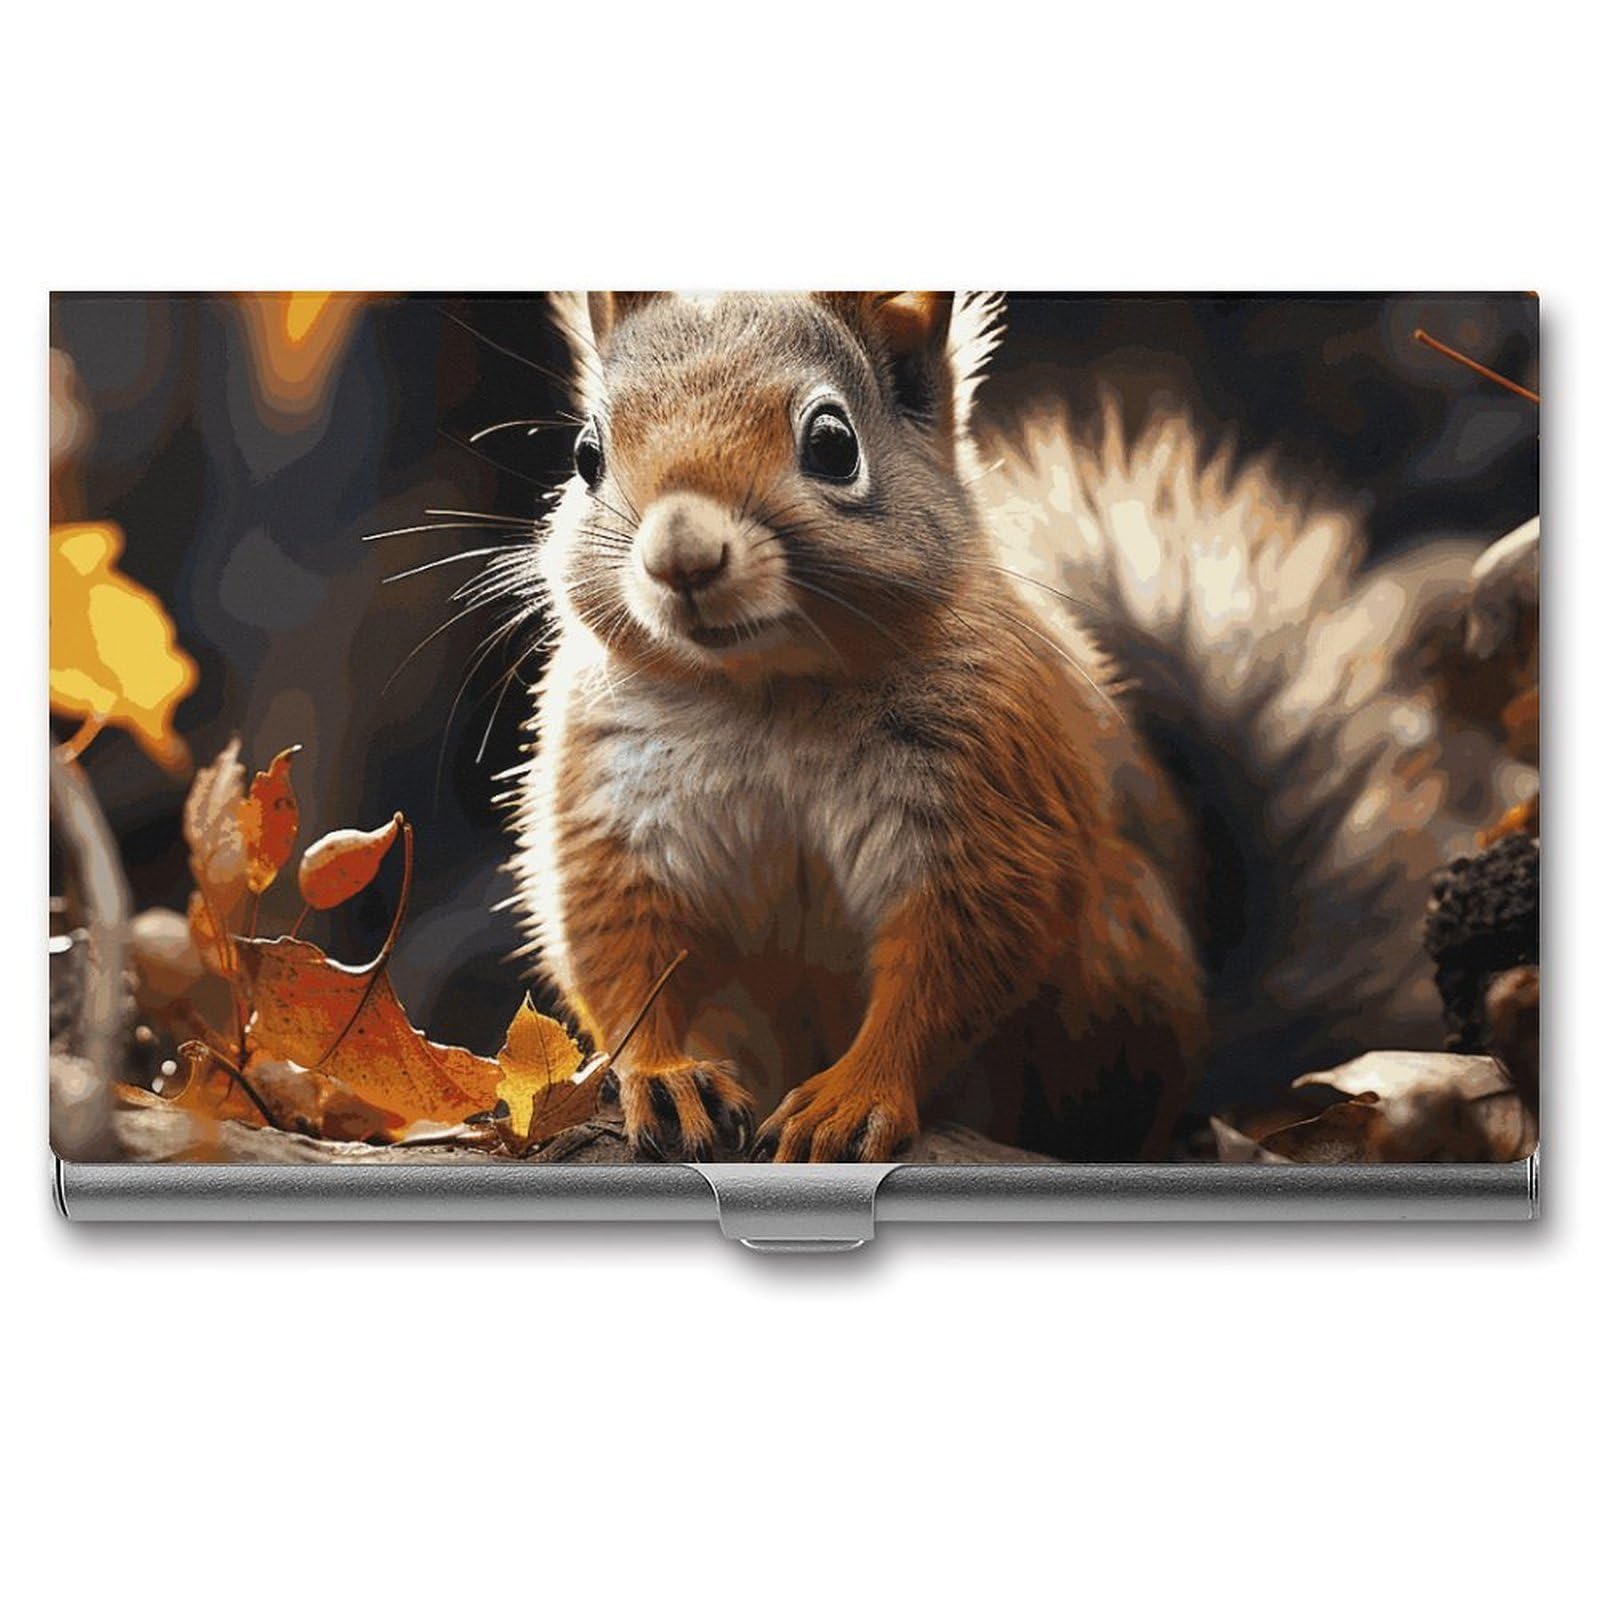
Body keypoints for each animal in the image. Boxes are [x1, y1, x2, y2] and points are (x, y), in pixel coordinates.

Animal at [509, 292, 1516, 1163]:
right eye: (586, 453)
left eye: (833, 443)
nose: (681, 557)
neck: (768, 694)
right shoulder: (613, 802)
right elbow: (621, 948)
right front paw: (663, 1075)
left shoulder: (987, 789)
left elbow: (956, 955)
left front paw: (855, 1096)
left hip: (1112, 976)